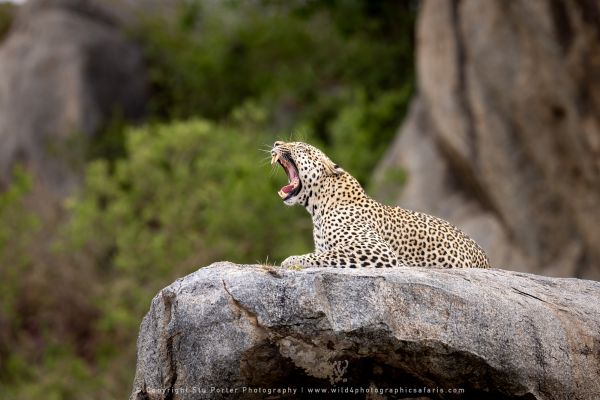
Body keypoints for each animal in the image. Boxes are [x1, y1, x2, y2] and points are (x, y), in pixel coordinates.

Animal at [270, 141, 490, 268]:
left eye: (300, 147)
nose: (276, 142)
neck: (317, 209)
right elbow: (323, 254)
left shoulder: (374, 248)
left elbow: (324, 257)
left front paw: (292, 260)